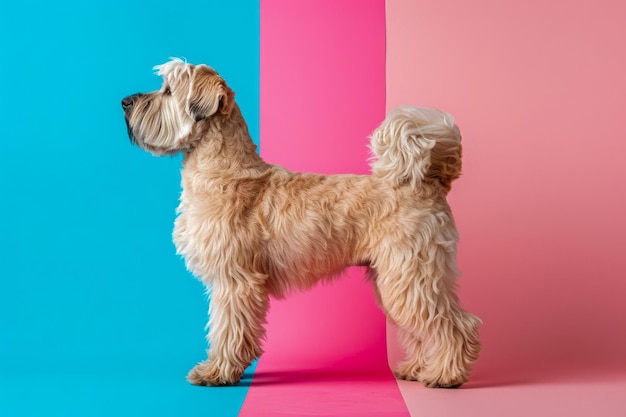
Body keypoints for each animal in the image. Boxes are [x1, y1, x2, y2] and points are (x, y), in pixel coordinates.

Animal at [123, 57, 482, 386]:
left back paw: (446, 375)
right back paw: (417, 369)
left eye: (168, 91)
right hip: (399, 280)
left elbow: (226, 330)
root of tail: (430, 182)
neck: (222, 170)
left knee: (456, 325)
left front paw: (217, 372)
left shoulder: (234, 281)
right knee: (421, 330)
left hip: (412, 276)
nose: (125, 101)